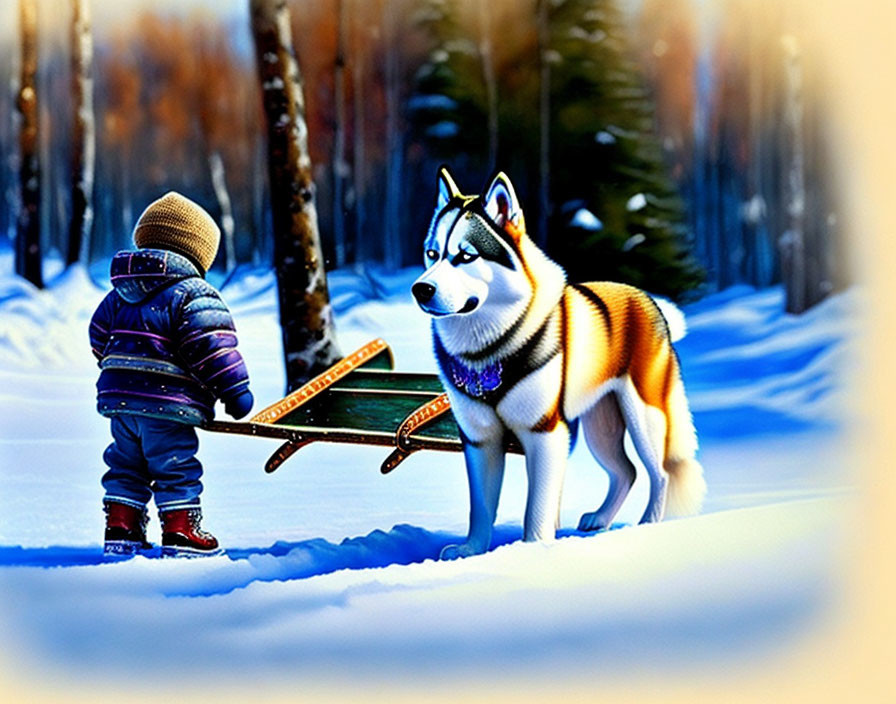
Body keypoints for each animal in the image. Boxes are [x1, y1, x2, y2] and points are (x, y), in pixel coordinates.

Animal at [414, 168, 708, 560]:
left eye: (465, 256)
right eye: (432, 254)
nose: (420, 289)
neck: (490, 350)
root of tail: (650, 302)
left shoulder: (544, 432)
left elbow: (537, 507)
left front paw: (533, 551)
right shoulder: (480, 439)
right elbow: (482, 507)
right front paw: (472, 551)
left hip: (644, 418)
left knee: (659, 473)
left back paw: (647, 525)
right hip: (601, 425)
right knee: (626, 471)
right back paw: (599, 520)